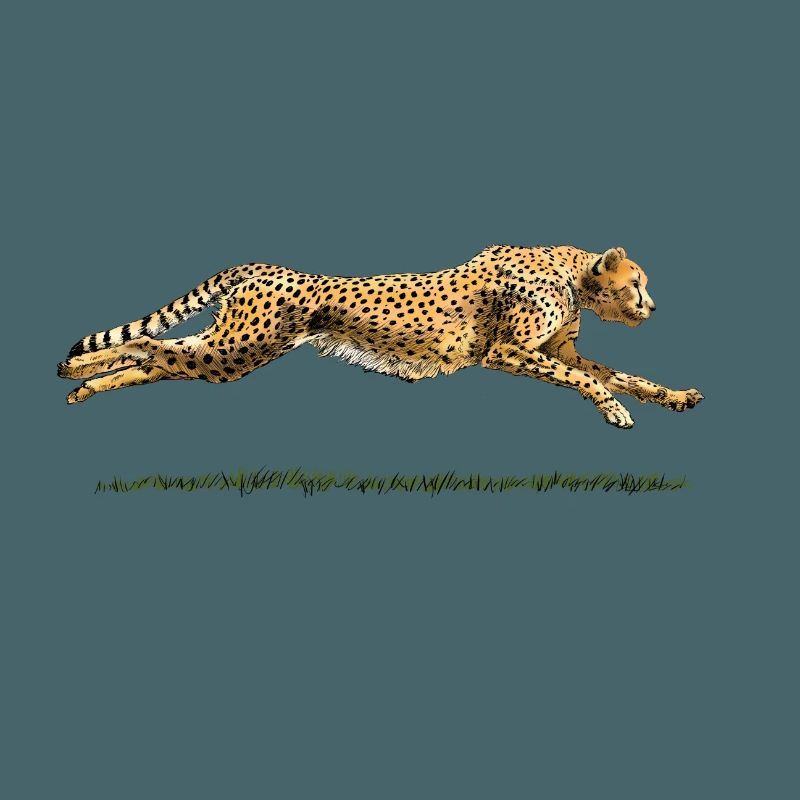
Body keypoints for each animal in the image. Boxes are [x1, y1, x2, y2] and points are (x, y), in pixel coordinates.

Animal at [57, 244, 704, 428]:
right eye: (637, 283)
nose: (652, 306)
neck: (573, 274)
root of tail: (265, 266)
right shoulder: (506, 351)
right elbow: (580, 378)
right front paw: (615, 411)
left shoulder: (555, 349)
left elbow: (620, 374)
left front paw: (672, 396)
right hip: (238, 348)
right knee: (152, 346)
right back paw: (75, 369)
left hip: (229, 354)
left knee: (161, 359)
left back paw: (82, 386)